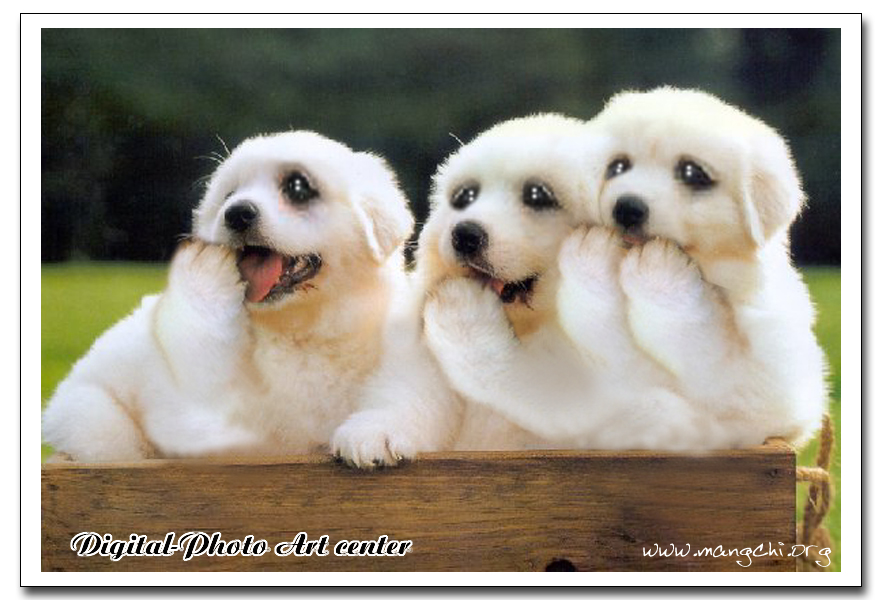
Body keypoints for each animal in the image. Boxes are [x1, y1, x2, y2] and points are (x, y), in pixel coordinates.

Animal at [42, 131, 413, 461]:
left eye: (298, 187)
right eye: (228, 195)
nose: (236, 213)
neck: (299, 334)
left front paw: (377, 434)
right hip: (94, 418)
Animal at [557, 87, 828, 448]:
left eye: (692, 173)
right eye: (617, 166)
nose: (626, 208)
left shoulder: (765, 391)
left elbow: (701, 345)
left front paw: (661, 277)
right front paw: (593, 255)